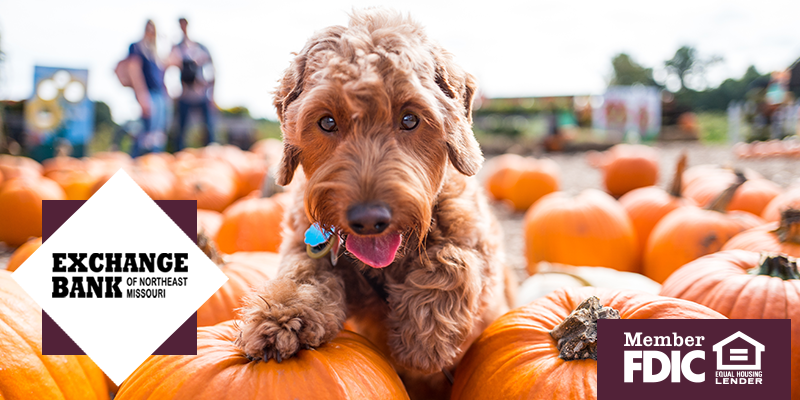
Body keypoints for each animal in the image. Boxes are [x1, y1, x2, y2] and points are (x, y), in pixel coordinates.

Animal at [238, 8, 512, 396]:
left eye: (410, 118)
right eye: (327, 121)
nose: (369, 220)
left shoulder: (481, 251)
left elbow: (454, 258)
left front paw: (425, 339)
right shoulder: (305, 243)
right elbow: (303, 271)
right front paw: (279, 317)